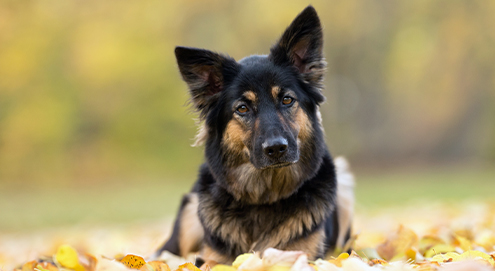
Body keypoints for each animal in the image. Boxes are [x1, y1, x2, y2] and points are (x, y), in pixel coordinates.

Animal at [154, 5, 352, 268]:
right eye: (242, 108)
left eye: (286, 99)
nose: (276, 148)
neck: (264, 197)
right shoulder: (211, 258)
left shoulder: (305, 256)